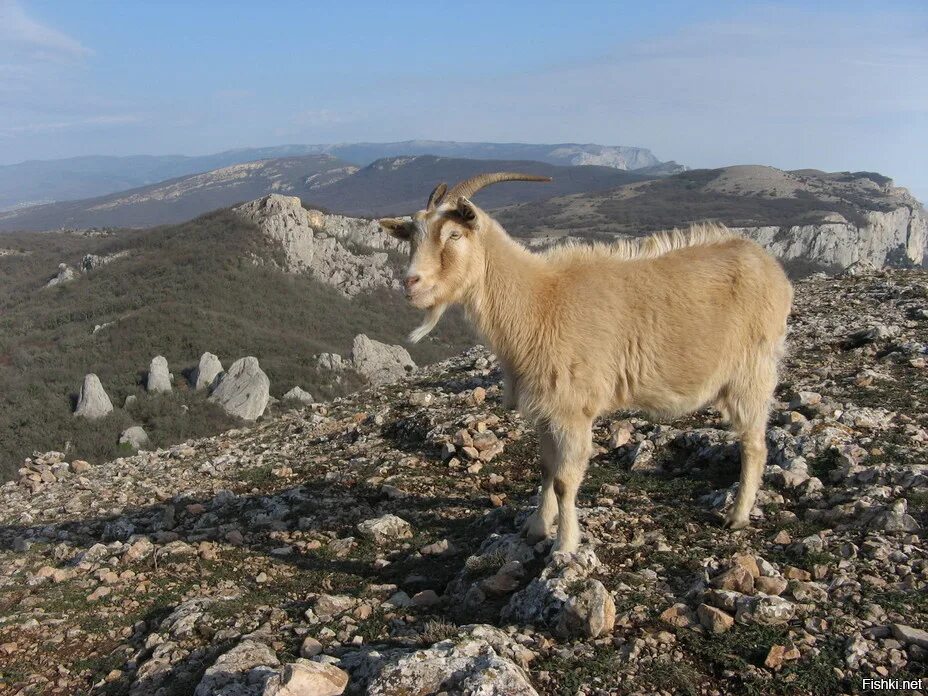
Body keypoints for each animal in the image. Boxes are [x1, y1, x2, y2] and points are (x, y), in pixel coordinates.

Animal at [380, 175, 792, 556]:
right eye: (413, 236)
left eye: (453, 234)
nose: (411, 283)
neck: (538, 301)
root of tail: (771, 267)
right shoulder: (545, 410)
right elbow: (546, 469)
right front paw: (535, 528)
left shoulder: (572, 410)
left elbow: (565, 481)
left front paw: (564, 546)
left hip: (753, 372)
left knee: (755, 444)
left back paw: (737, 516)